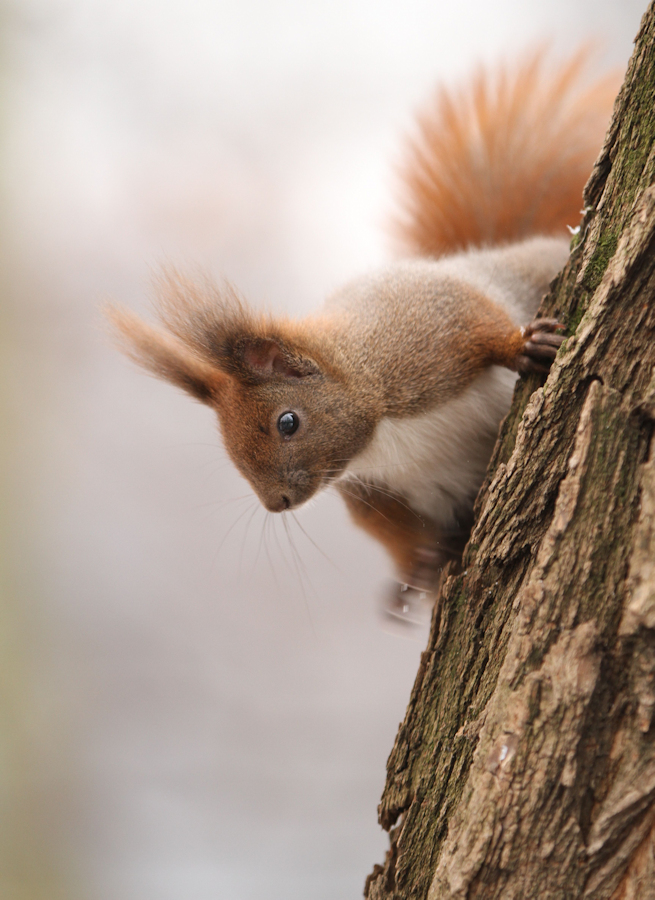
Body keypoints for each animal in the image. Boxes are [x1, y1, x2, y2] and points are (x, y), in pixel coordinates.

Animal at [109, 47, 620, 596]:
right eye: (227, 445)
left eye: (287, 422)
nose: (276, 504)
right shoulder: (371, 487)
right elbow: (385, 525)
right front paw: (415, 568)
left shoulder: (419, 332)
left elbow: (473, 318)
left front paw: (520, 346)